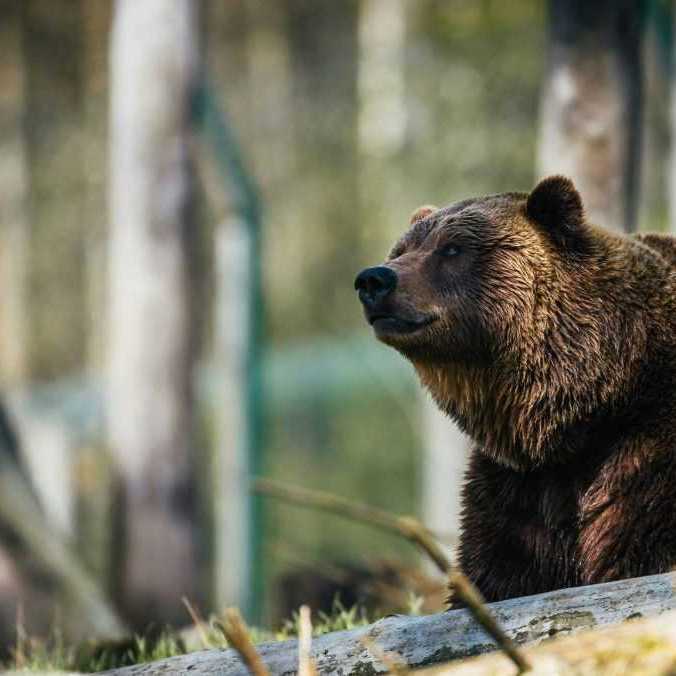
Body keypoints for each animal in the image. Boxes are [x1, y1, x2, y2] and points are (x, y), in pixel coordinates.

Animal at [354, 174, 676, 604]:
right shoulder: (517, 488)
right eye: (401, 249)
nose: (374, 279)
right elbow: (498, 571)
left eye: (452, 248)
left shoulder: (646, 449)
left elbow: (640, 543)